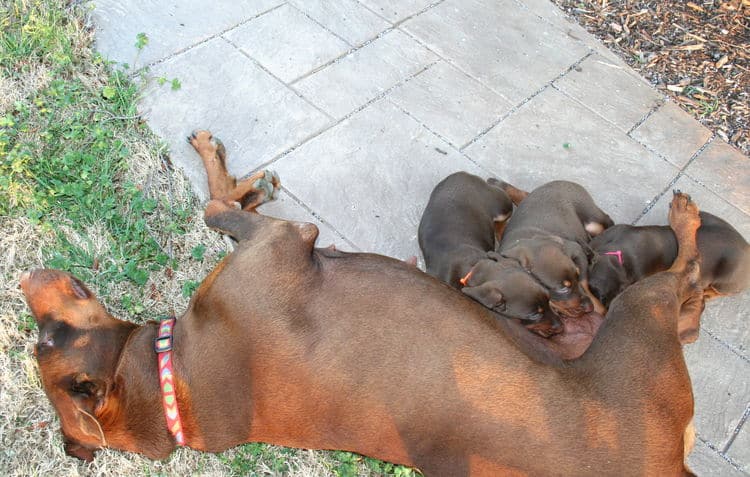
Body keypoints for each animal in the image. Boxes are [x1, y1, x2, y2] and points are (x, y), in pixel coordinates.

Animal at [496, 180, 612, 318]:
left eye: (577, 276)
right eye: (562, 288)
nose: (590, 307)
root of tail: (567, 181)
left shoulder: (577, 250)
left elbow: (584, 281)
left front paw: (599, 308)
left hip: (593, 223)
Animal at [592, 210, 748, 336]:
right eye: (601, 297)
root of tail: (747, 247)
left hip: (725, 282)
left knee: (720, 291)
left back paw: (707, 293)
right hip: (705, 215)